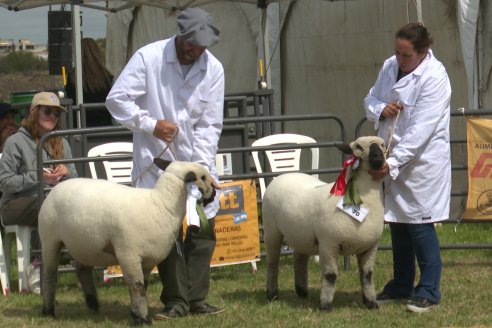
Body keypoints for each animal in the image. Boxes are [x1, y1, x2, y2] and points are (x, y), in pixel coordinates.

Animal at [38, 160, 215, 326]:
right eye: (203, 177)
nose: (214, 193)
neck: (162, 204)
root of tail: (56, 188)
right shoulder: (128, 254)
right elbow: (137, 287)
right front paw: (142, 319)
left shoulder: (147, 260)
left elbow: (143, 286)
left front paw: (137, 314)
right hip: (50, 241)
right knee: (50, 276)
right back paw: (48, 311)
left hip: (84, 244)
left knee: (82, 270)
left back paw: (93, 303)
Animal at [264, 137, 386, 312]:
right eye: (358, 146)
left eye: (383, 145)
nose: (378, 156)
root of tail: (283, 175)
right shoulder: (329, 244)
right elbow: (330, 276)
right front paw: (325, 305)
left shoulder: (370, 246)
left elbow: (367, 275)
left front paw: (371, 303)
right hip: (271, 231)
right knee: (273, 263)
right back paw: (272, 295)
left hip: (301, 235)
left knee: (299, 260)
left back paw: (302, 292)